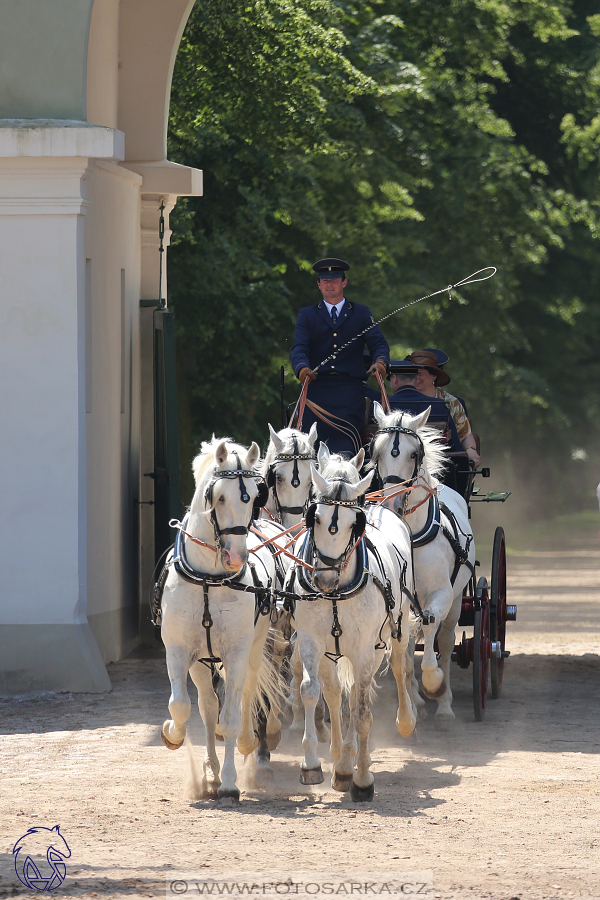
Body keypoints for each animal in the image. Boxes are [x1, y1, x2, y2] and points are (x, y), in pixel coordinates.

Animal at [159, 436, 282, 800]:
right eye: (219, 497)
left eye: (254, 497)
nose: (236, 557)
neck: (209, 580)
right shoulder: (178, 650)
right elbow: (182, 706)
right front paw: (172, 734)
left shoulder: (237, 651)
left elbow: (230, 717)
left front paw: (229, 780)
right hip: (203, 661)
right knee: (208, 706)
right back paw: (210, 773)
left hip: (253, 648)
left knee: (244, 696)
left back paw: (244, 744)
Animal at [290, 454, 412, 800]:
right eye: (315, 519)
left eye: (351, 524)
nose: (325, 578)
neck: (336, 590)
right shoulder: (311, 641)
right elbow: (311, 691)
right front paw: (312, 764)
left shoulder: (364, 649)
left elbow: (361, 713)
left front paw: (362, 779)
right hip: (333, 652)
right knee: (334, 693)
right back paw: (340, 760)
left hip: (395, 630)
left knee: (396, 668)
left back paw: (401, 724)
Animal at [370, 408, 474, 732]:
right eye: (376, 452)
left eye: (414, 453)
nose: (390, 503)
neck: (410, 534)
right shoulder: (398, 603)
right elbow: (403, 654)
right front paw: (414, 697)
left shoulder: (441, 595)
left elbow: (430, 628)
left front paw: (433, 683)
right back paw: (416, 698)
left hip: (456, 602)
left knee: (447, 640)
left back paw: (444, 704)